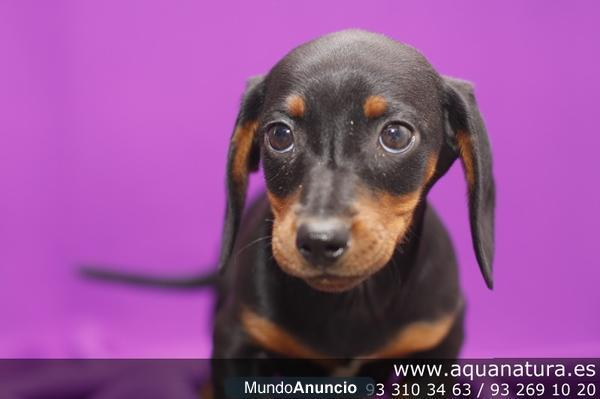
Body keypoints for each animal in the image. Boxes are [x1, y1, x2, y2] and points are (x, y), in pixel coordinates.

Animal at [213, 28, 494, 394]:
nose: (319, 241)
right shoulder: (236, 339)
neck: (351, 303)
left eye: (395, 135)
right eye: (279, 135)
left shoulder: (435, 347)